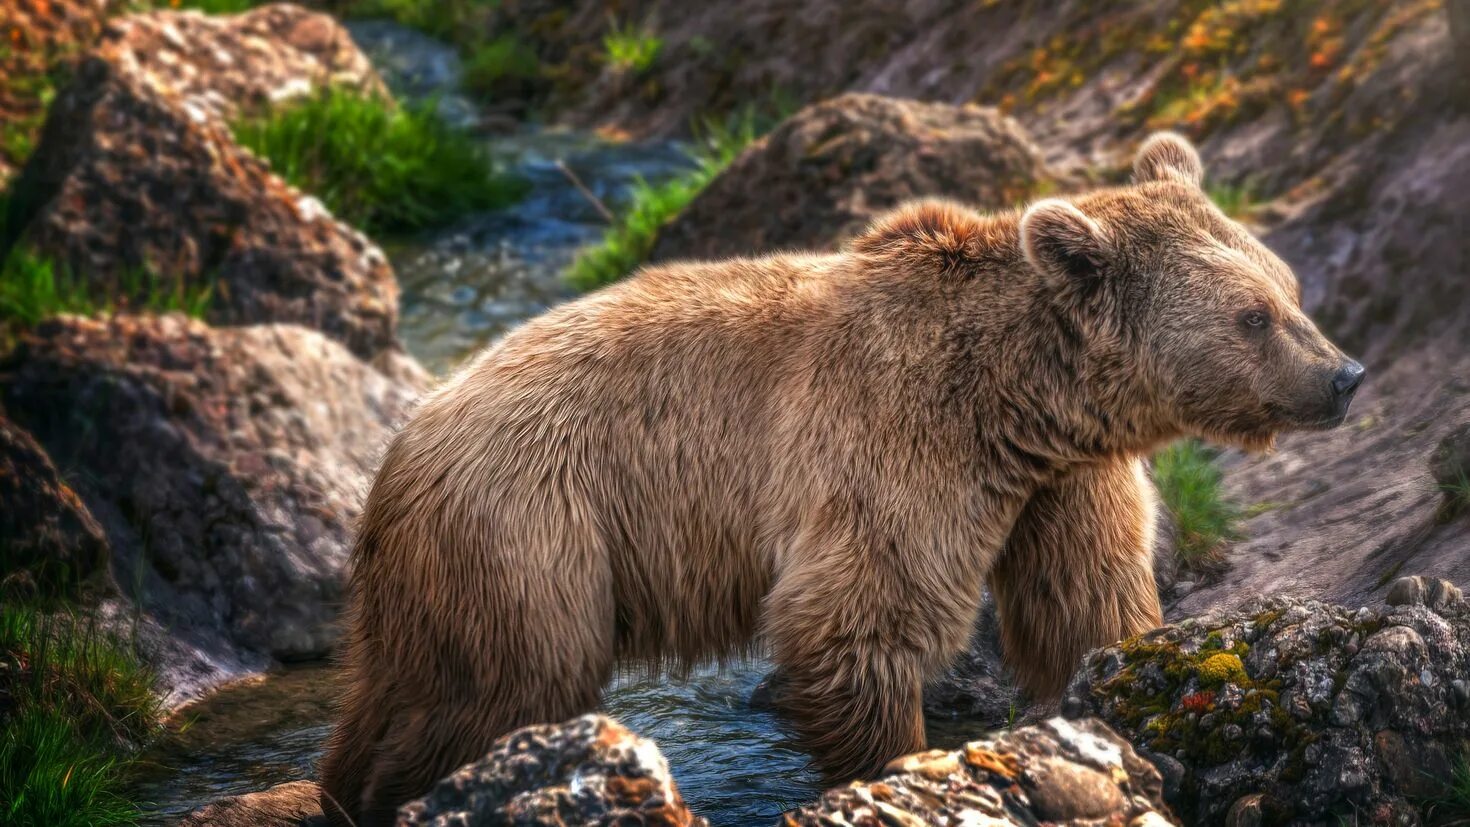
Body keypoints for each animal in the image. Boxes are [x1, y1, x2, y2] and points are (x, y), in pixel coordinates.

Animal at [321, 132, 1364, 822]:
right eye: (1252, 315)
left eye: (1288, 290)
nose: (1346, 374)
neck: (1019, 399)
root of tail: (404, 442)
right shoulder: (894, 442)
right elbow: (860, 617)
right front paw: (896, 764)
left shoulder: (1060, 484)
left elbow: (1085, 600)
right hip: (532, 529)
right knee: (501, 690)